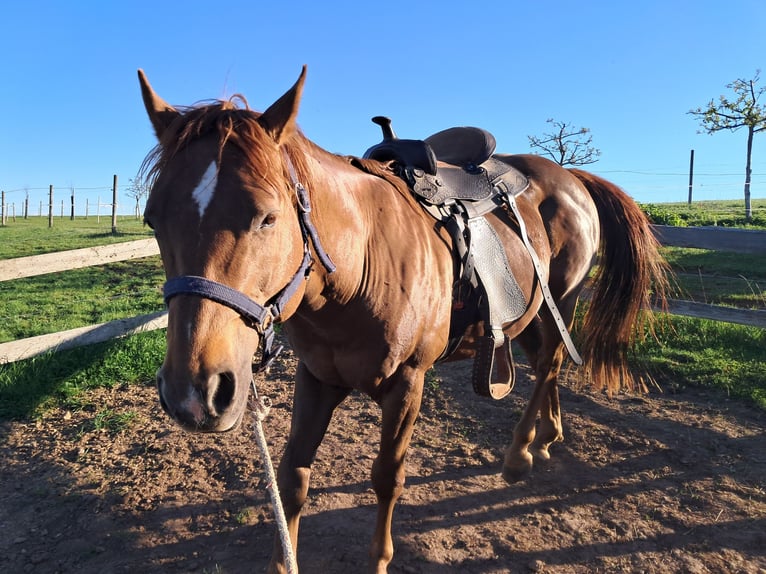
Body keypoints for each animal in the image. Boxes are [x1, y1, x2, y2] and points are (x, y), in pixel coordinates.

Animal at [138, 66, 668, 573]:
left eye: (267, 217)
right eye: (153, 219)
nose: (194, 393)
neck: (362, 267)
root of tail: (570, 177)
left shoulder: (408, 383)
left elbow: (387, 476)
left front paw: (379, 559)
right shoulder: (316, 377)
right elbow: (293, 474)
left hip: (562, 299)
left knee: (551, 365)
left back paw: (520, 453)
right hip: (537, 312)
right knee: (546, 367)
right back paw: (546, 438)